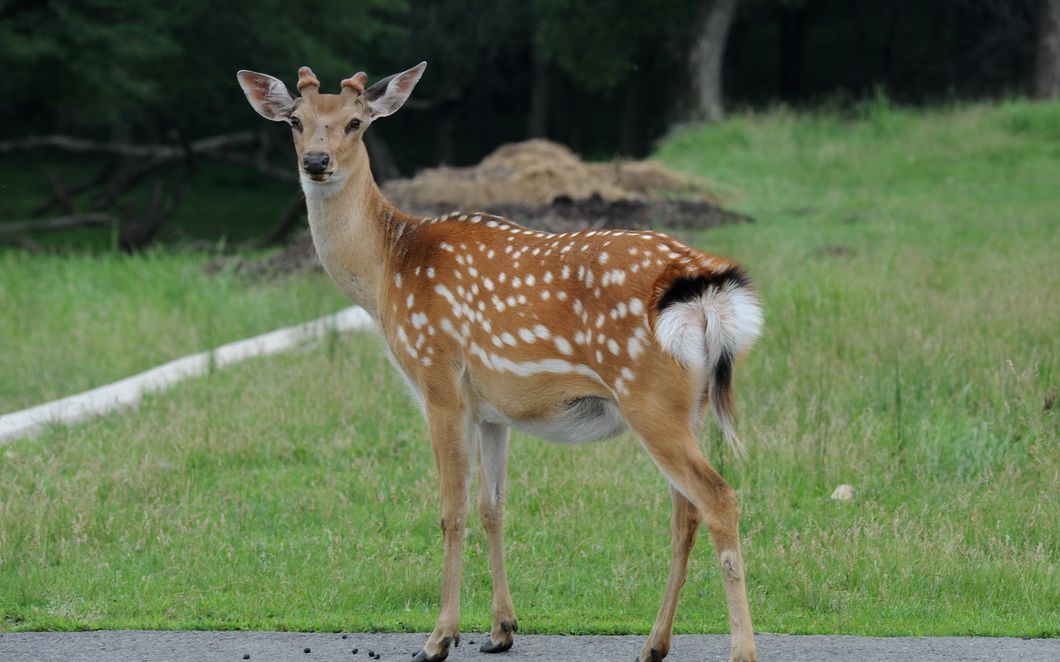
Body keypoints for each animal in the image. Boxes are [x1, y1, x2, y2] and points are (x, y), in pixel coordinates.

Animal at [238, 63, 763, 660]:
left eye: (355, 121)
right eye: (295, 121)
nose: (316, 161)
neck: (385, 272)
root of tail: (706, 289)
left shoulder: (438, 378)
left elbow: (452, 510)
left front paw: (439, 637)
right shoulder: (493, 409)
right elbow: (493, 507)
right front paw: (501, 630)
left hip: (648, 393)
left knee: (719, 498)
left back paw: (741, 649)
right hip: (687, 404)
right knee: (685, 512)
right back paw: (653, 643)